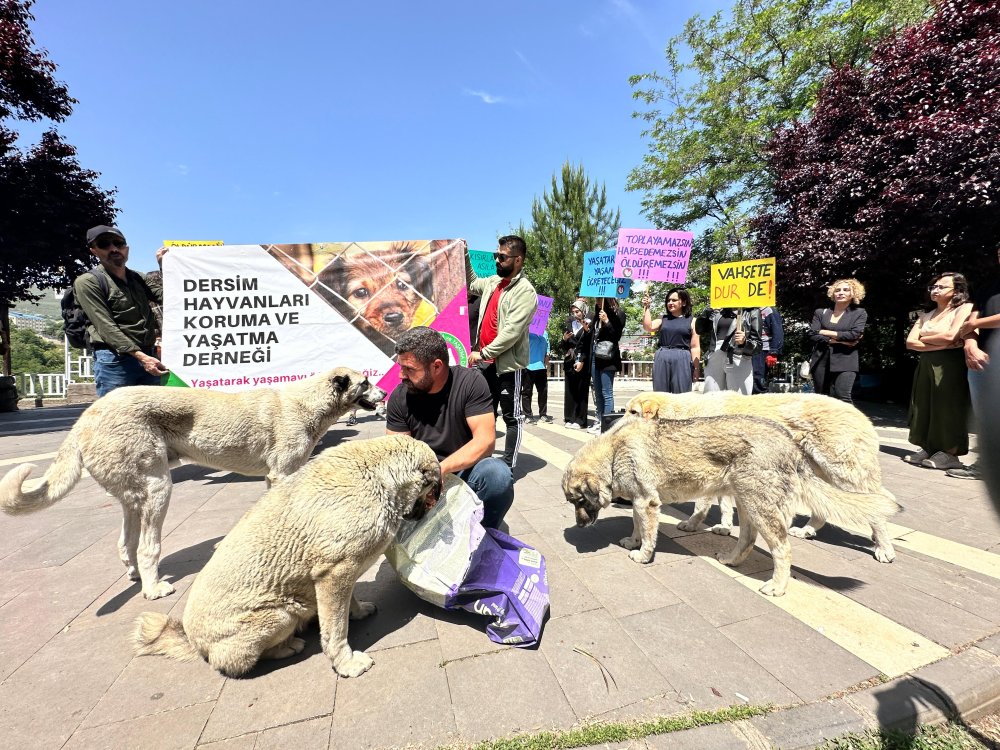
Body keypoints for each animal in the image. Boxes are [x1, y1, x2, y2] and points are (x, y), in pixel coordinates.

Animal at [0, 368, 384, 604]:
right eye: (365, 383)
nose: (382, 393)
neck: (307, 403)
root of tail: (85, 417)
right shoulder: (282, 473)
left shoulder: (272, 477)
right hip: (157, 488)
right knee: (147, 547)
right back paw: (154, 589)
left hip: (133, 495)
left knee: (125, 542)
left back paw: (135, 576)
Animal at [133, 434, 438, 680]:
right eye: (432, 490)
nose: (430, 509)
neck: (376, 474)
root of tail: (193, 641)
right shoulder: (334, 574)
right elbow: (336, 630)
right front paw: (345, 663)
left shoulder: (340, 573)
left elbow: (347, 604)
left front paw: (359, 611)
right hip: (281, 614)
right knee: (233, 663)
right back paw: (288, 646)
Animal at [564, 418, 900, 600]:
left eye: (580, 502)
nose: (580, 526)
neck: (613, 451)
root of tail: (790, 443)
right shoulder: (640, 501)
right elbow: (637, 524)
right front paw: (633, 541)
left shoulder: (646, 501)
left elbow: (647, 533)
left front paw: (643, 554)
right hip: (746, 502)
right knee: (748, 538)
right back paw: (732, 560)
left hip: (763, 506)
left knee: (782, 549)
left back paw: (778, 586)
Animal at [624, 394, 900, 564]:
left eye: (632, 411)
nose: (615, 424)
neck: (682, 411)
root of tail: (864, 417)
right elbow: (725, 503)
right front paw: (724, 526)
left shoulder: (706, 472)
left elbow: (703, 503)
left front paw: (693, 523)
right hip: (817, 472)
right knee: (824, 507)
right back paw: (807, 530)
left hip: (846, 474)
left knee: (877, 510)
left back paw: (884, 548)